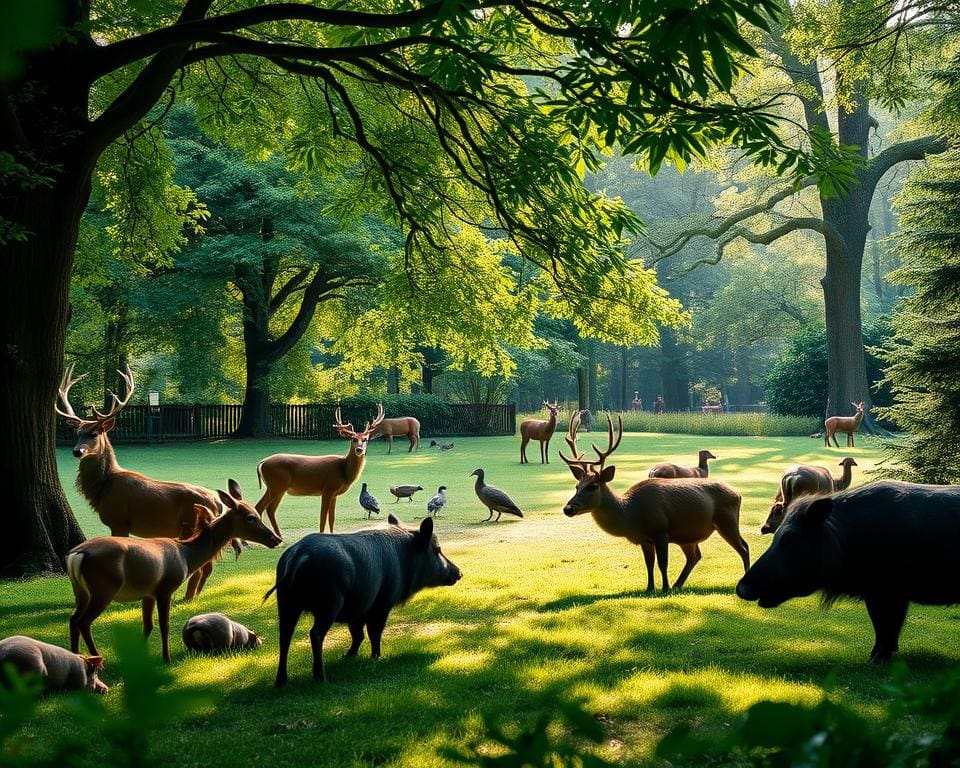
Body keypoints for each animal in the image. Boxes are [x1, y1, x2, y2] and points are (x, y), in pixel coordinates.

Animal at [56, 364, 229, 604]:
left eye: (94, 433)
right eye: (77, 433)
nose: (77, 451)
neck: (103, 488)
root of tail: (217, 502)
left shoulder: (119, 520)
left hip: (189, 524)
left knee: (203, 564)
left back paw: (187, 597)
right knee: (208, 565)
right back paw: (193, 595)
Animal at [64, 484, 278, 664]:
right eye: (251, 517)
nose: (275, 539)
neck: (186, 556)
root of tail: (77, 554)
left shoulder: (148, 593)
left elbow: (147, 626)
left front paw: (141, 657)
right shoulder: (166, 588)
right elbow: (164, 625)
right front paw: (166, 659)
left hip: (81, 591)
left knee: (73, 619)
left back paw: (77, 657)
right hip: (105, 587)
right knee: (84, 622)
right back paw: (97, 659)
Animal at [258, 404, 390, 536]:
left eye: (365, 439)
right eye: (353, 439)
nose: (359, 450)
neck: (344, 470)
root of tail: (262, 462)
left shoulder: (335, 493)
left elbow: (332, 518)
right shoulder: (328, 488)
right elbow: (323, 517)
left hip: (276, 487)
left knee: (269, 509)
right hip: (276, 485)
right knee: (261, 507)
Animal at [560, 408, 752, 592]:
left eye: (593, 486)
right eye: (577, 486)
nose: (568, 508)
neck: (631, 514)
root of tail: (738, 494)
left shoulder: (661, 530)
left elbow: (662, 563)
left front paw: (664, 588)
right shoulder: (644, 539)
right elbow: (649, 564)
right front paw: (650, 588)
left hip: (727, 520)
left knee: (743, 547)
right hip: (690, 534)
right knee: (695, 556)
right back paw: (677, 585)